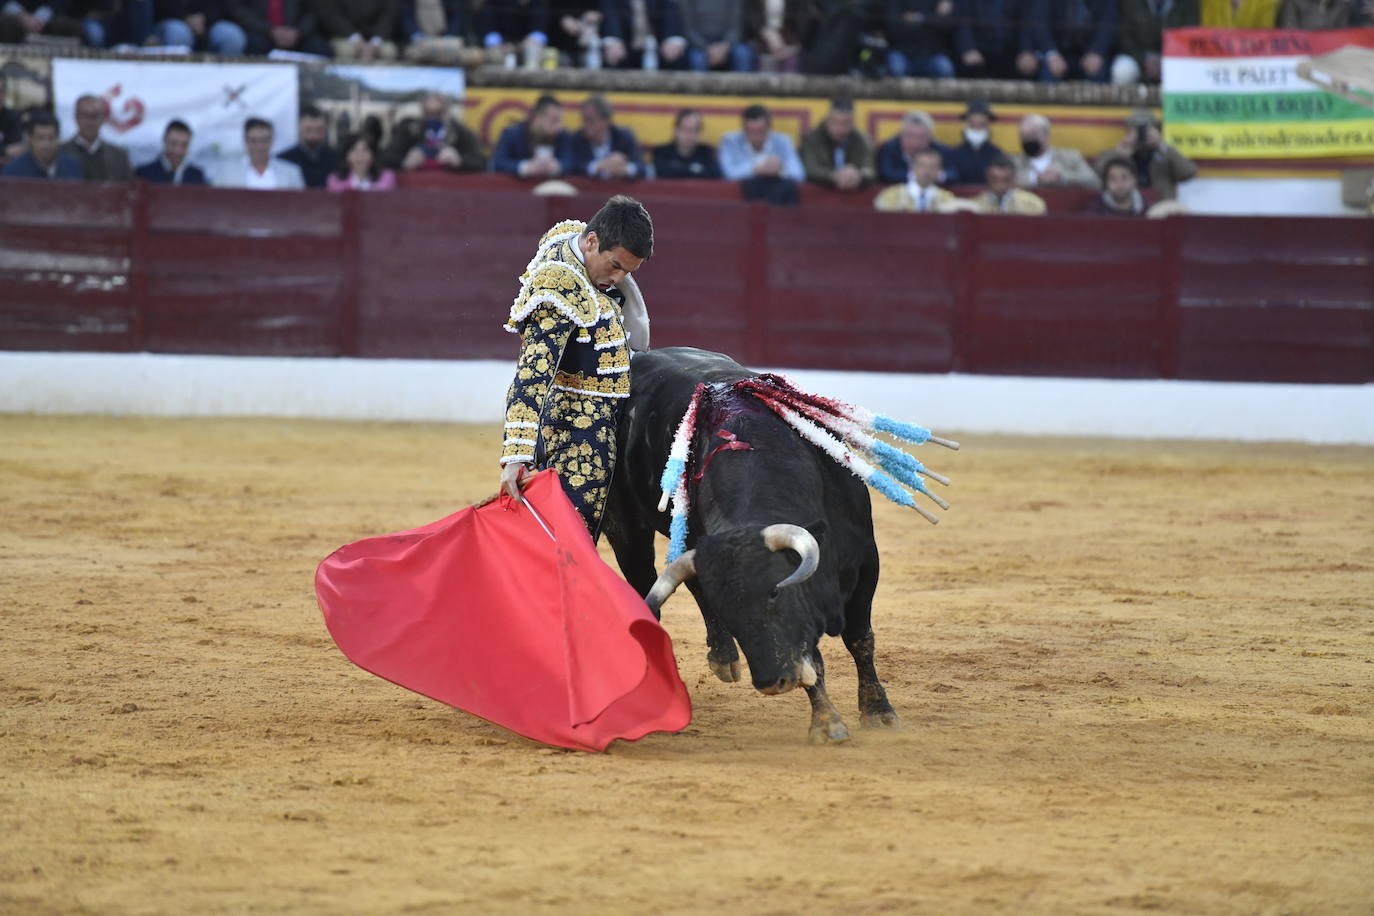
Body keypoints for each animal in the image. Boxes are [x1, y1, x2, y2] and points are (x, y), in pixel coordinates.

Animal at [601, 347, 901, 741]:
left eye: (774, 592)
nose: (772, 682)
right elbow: (809, 654)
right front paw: (826, 722)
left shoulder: (867, 560)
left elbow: (860, 638)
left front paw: (878, 711)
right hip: (625, 528)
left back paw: (724, 658)